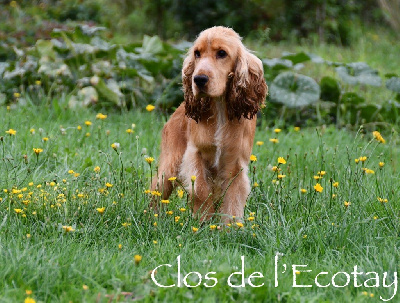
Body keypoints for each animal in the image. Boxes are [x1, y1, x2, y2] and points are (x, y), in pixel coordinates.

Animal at [152, 26, 268, 222]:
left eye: (222, 53)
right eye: (197, 53)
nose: (198, 79)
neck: (220, 108)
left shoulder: (236, 164)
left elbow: (233, 201)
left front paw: (229, 227)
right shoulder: (195, 154)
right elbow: (200, 189)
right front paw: (203, 221)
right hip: (170, 166)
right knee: (156, 190)